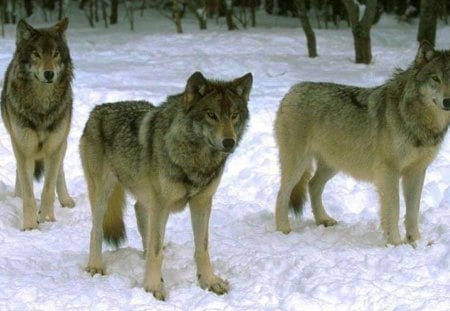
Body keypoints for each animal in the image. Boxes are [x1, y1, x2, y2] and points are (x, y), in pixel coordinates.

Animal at [0, 17, 76, 232]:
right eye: (36, 54)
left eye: (55, 54)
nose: (49, 74)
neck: (42, 106)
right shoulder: (23, 147)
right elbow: (28, 192)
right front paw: (30, 226)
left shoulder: (55, 146)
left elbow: (48, 188)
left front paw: (48, 219)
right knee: (20, 174)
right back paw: (17, 196)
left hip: (62, 142)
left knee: (59, 171)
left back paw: (66, 200)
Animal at [78, 71, 251, 302]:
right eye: (211, 115)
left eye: (234, 115)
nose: (229, 142)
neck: (196, 160)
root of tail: (97, 110)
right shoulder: (161, 206)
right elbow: (156, 252)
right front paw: (153, 287)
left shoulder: (202, 202)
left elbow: (201, 248)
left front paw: (209, 281)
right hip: (102, 194)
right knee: (96, 230)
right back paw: (95, 266)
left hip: (145, 198)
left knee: (140, 214)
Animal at [276, 42, 450, 246]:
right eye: (435, 78)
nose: (448, 101)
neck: (417, 120)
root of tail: (292, 90)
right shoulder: (388, 172)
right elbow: (394, 209)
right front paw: (396, 243)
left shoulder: (417, 171)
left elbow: (413, 211)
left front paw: (416, 241)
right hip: (298, 165)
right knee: (282, 193)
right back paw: (283, 229)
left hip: (333, 164)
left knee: (312, 185)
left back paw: (323, 219)